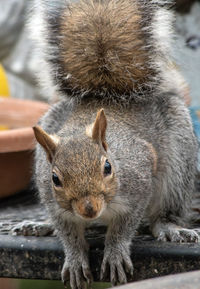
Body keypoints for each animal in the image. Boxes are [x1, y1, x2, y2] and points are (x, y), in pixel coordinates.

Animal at [28, 0, 198, 288]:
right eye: (55, 179)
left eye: (107, 168)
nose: (89, 209)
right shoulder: (56, 204)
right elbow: (68, 234)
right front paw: (75, 258)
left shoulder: (139, 183)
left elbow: (124, 227)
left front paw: (116, 252)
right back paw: (42, 225)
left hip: (179, 159)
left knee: (166, 210)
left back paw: (169, 227)